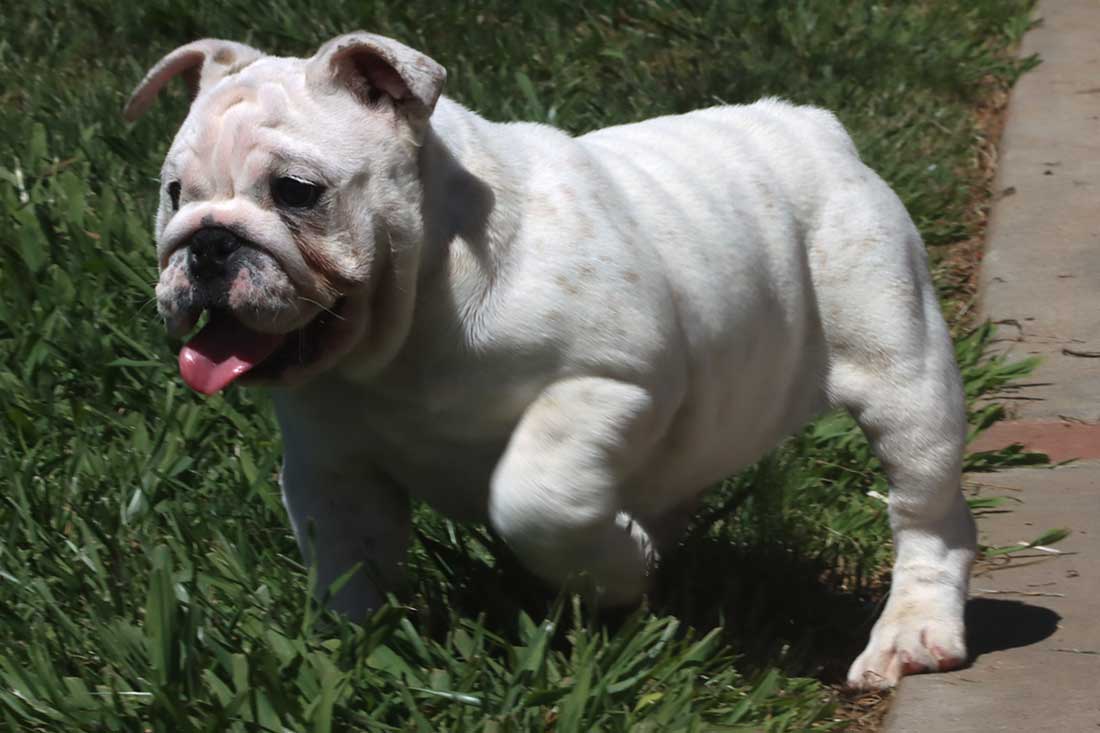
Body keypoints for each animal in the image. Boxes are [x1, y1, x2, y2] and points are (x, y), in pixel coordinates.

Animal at [125, 32, 977, 689]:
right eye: (173, 192)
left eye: (297, 191)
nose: (208, 242)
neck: (409, 317)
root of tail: (814, 127)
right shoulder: (330, 466)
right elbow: (348, 560)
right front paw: (351, 652)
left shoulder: (611, 381)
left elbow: (533, 493)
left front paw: (617, 567)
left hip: (902, 370)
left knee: (930, 515)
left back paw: (911, 631)